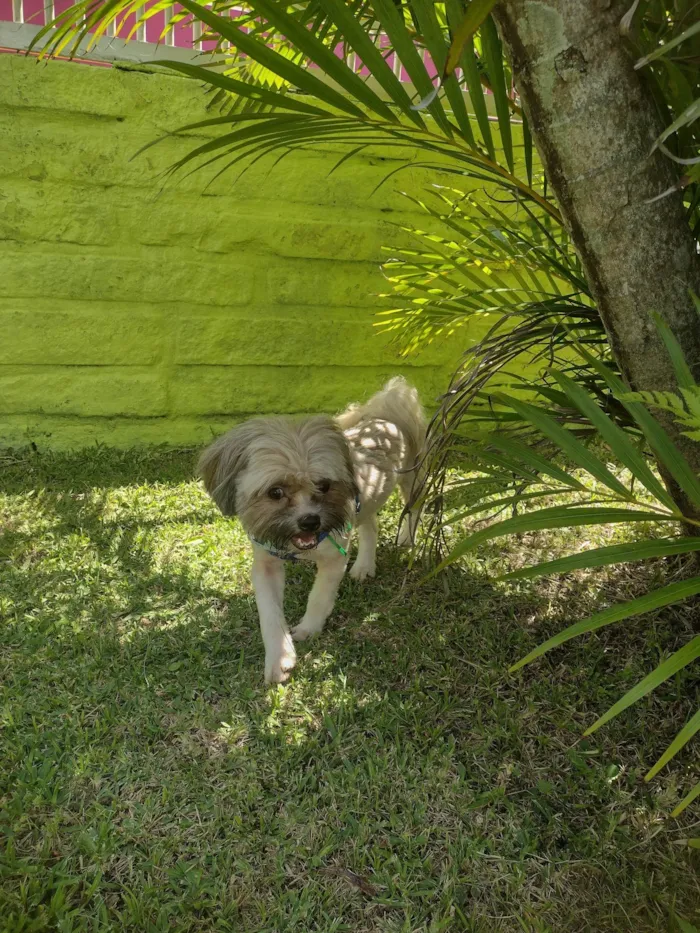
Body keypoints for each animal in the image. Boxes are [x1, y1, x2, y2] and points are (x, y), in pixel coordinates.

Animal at [198, 376, 426, 684]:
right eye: (275, 492)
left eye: (324, 485)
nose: (310, 521)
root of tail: (384, 417)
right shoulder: (266, 564)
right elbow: (269, 613)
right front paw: (279, 658)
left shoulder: (334, 557)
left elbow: (318, 597)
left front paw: (308, 628)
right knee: (371, 525)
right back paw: (364, 566)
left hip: (411, 480)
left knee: (414, 509)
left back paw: (406, 538)